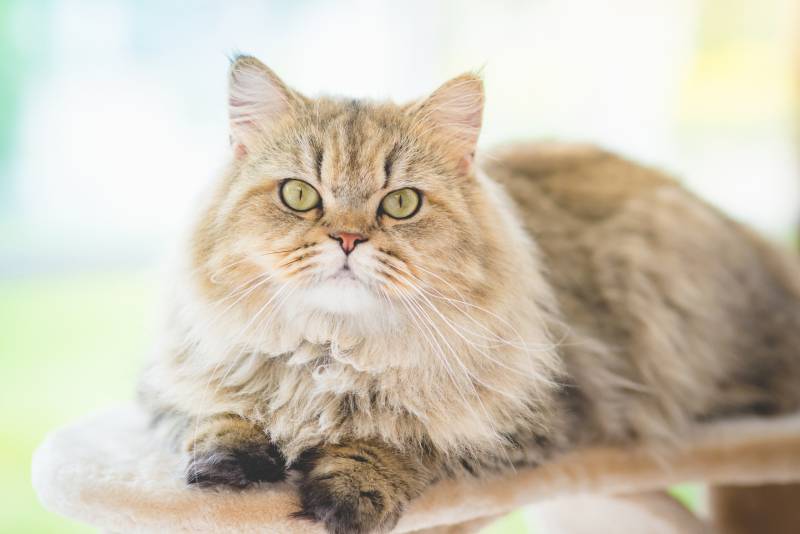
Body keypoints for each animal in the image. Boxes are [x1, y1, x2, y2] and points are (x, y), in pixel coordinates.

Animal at [141, 55, 800, 534]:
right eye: (300, 195)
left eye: (401, 203)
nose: (348, 239)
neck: (335, 352)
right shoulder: (171, 385)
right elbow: (219, 412)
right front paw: (229, 464)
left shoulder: (539, 420)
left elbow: (406, 439)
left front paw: (345, 491)